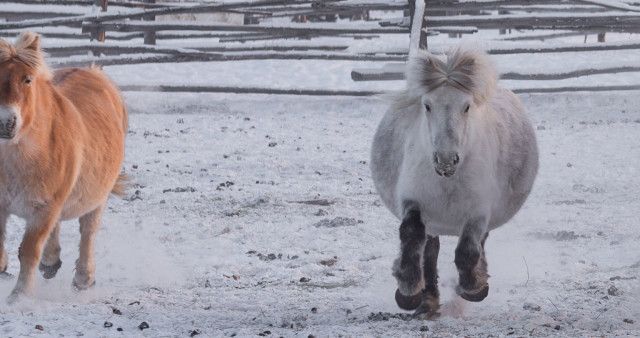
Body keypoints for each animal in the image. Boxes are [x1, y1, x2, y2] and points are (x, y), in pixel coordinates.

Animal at [0, 31, 129, 302]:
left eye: (27, 79)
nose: (6, 123)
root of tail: (94, 72)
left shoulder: (44, 209)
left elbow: (29, 250)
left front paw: (19, 296)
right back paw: (51, 263)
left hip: (97, 197)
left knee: (88, 232)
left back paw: (84, 278)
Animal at [370, 46, 540, 318]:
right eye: (427, 105)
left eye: (467, 106)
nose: (446, 160)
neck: (448, 182)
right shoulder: (414, 202)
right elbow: (411, 237)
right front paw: (408, 291)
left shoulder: (478, 212)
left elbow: (468, 252)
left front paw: (475, 287)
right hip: (433, 222)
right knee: (429, 252)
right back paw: (428, 302)